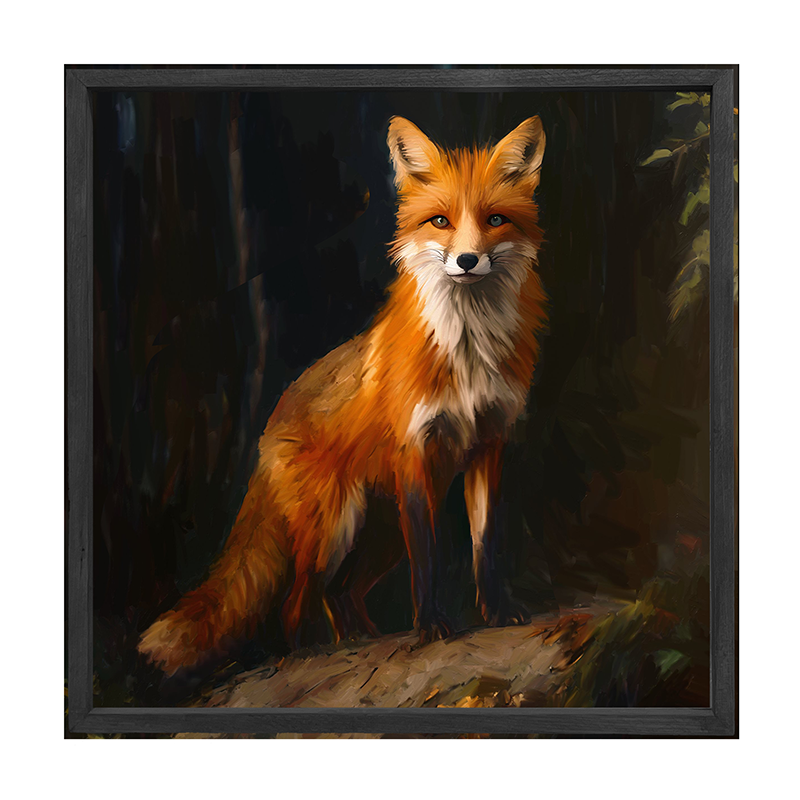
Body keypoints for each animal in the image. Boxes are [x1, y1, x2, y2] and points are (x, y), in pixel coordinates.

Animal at [138, 115, 549, 676]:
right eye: (440, 221)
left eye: (496, 219)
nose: (467, 260)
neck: (468, 350)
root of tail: (270, 424)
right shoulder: (416, 453)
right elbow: (429, 560)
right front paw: (431, 627)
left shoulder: (489, 444)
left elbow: (485, 545)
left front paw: (497, 612)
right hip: (336, 526)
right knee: (296, 603)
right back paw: (313, 651)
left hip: (379, 534)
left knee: (342, 595)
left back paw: (360, 641)